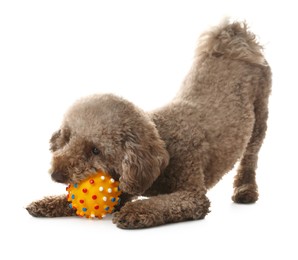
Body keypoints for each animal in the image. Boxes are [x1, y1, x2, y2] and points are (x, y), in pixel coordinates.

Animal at [26, 19, 272, 228]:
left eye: (95, 150)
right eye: (67, 138)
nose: (56, 175)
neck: (162, 140)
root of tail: (235, 36)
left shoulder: (192, 195)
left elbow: (161, 203)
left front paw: (136, 212)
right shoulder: (124, 185)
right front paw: (47, 202)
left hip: (260, 115)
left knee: (250, 156)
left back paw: (246, 189)